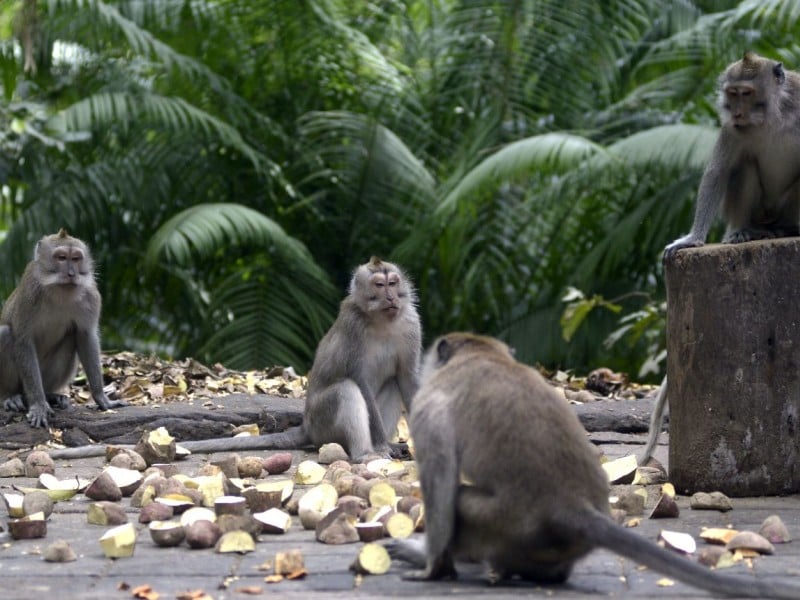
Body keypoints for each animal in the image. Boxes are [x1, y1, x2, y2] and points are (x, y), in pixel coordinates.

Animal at [0, 227, 126, 428]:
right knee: (5, 335)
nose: (71, 274)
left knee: (71, 338)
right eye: (61, 258)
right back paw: (10, 396)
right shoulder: (30, 292)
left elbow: (85, 336)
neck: (60, 290)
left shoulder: (91, 296)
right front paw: (39, 405)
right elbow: (23, 340)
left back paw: (51, 395)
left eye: (75, 259)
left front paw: (101, 398)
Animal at [388, 330, 800, 596]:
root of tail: (575, 508)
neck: (481, 354)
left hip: (504, 523)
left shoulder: (428, 407)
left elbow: (440, 483)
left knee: (458, 500)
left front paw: (429, 565)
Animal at [664, 51, 800, 258]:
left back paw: (786, 227)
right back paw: (740, 230)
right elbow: (718, 171)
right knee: (744, 166)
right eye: (733, 93)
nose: (736, 112)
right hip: (757, 214)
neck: (774, 116)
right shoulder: (731, 128)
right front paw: (693, 237)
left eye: (746, 93)